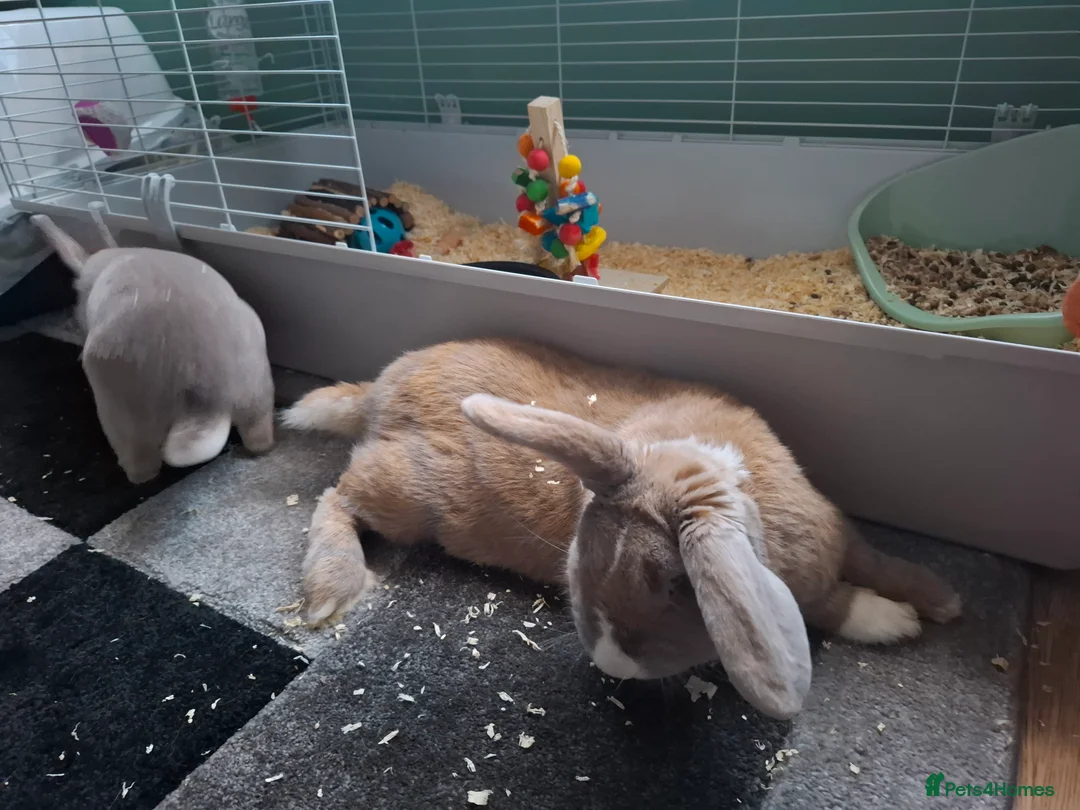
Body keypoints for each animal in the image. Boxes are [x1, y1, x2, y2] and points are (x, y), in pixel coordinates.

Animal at [281, 337, 962, 719]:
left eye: (676, 589)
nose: (613, 668)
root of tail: (378, 393)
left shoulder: (841, 535)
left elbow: (878, 561)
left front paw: (942, 599)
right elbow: (827, 607)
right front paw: (891, 621)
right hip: (404, 496)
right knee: (336, 497)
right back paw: (332, 590)